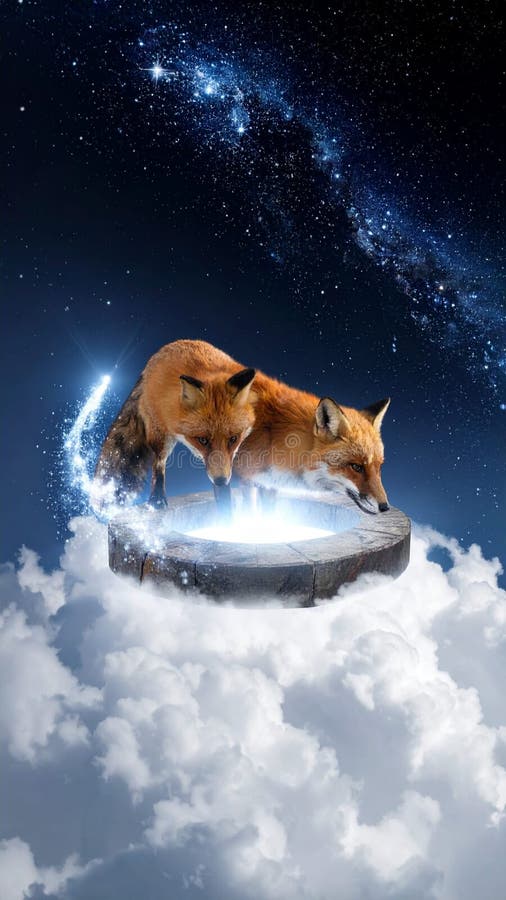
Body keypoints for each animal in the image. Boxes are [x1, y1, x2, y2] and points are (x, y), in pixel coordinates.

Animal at [94, 339, 390, 514]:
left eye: (378, 467)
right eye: (356, 467)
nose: (385, 507)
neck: (278, 436)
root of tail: (162, 350)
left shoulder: (268, 483)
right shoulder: (239, 478)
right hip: (163, 437)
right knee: (159, 463)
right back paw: (157, 500)